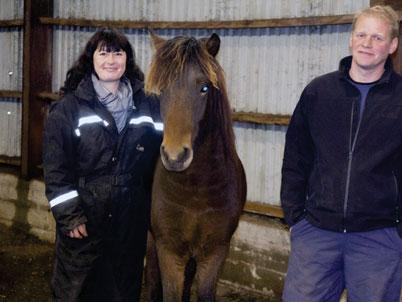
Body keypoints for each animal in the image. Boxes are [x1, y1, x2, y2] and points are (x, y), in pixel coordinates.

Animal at [144, 33, 245, 302]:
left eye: (204, 88)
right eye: (162, 90)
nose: (175, 156)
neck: (196, 190)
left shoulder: (215, 252)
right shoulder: (168, 250)